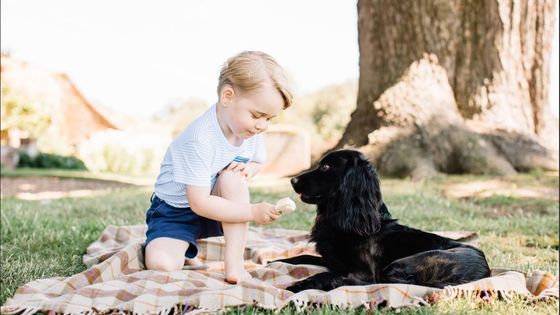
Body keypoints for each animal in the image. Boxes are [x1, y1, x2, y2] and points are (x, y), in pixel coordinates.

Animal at [280, 149, 490, 292]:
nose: (292, 180)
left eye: (325, 166)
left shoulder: (363, 270)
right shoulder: (333, 260)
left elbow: (326, 273)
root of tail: (484, 272)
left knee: (379, 281)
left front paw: (299, 285)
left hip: (403, 263)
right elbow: (301, 257)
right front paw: (278, 261)